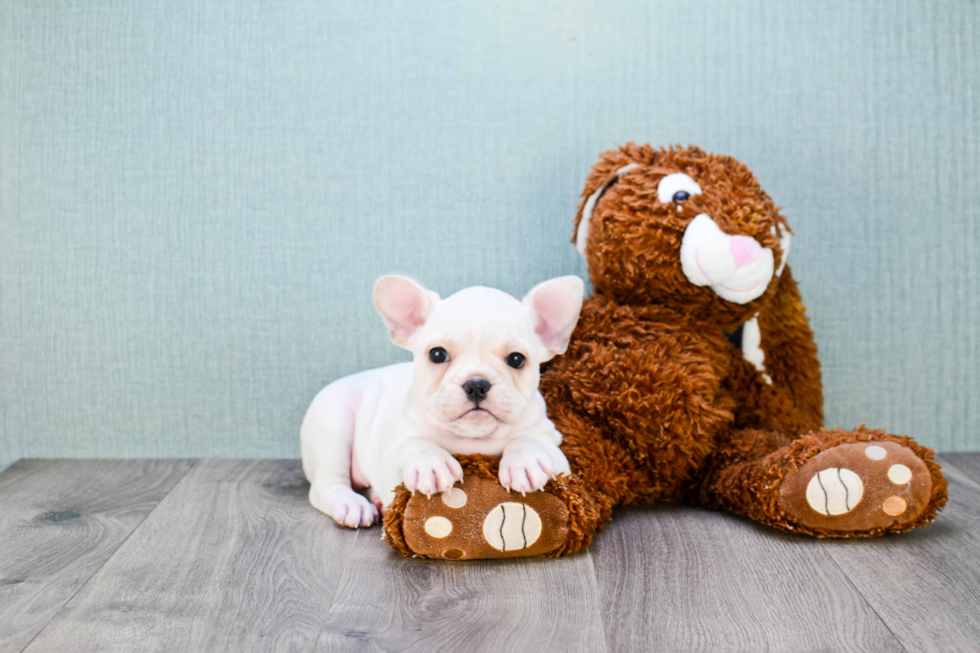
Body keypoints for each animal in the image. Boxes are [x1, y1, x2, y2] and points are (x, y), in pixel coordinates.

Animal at [302, 272, 584, 528]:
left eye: (516, 359)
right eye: (437, 354)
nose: (477, 384)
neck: (473, 438)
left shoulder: (556, 451)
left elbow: (531, 442)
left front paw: (525, 460)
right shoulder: (391, 461)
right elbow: (415, 443)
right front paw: (430, 462)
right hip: (334, 426)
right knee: (326, 486)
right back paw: (352, 505)